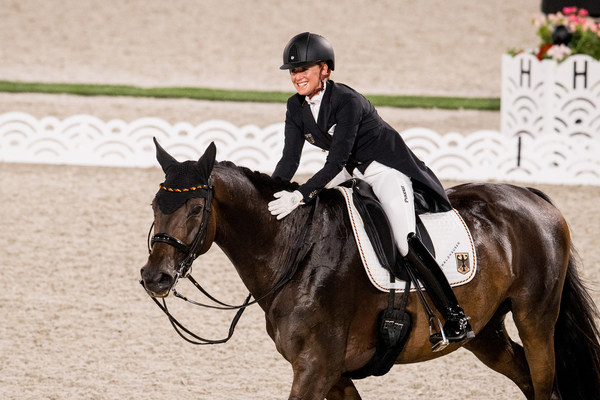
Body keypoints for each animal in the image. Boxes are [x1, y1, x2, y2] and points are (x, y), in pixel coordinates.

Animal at [142, 141, 600, 400]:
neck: (294, 251)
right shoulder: (334, 374)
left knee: (543, 379)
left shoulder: (316, 369)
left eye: (196, 209)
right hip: (486, 332)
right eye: (154, 205)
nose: (155, 277)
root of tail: (532, 196)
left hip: (535, 318)